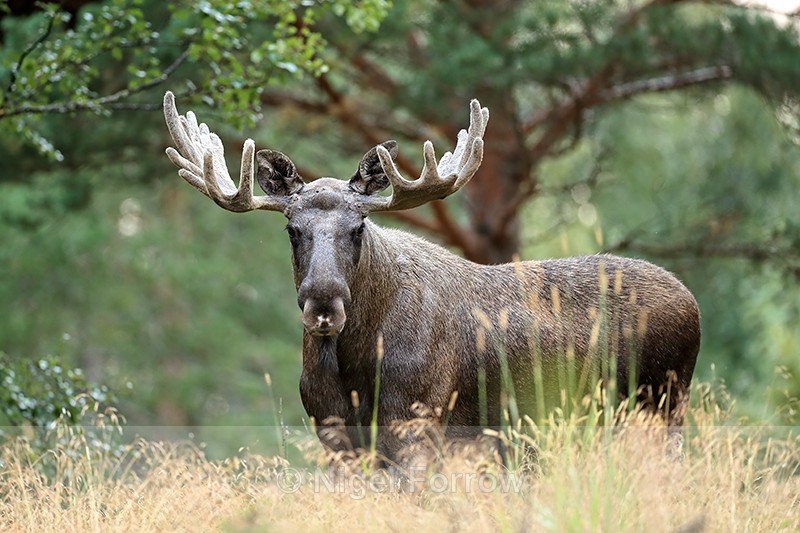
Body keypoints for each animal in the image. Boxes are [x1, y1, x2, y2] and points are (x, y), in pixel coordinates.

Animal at [162, 91, 701, 464]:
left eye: (359, 227)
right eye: (292, 230)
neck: (354, 366)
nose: (323, 305)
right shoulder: (333, 433)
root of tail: (691, 300)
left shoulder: (416, 423)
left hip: (662, 405)